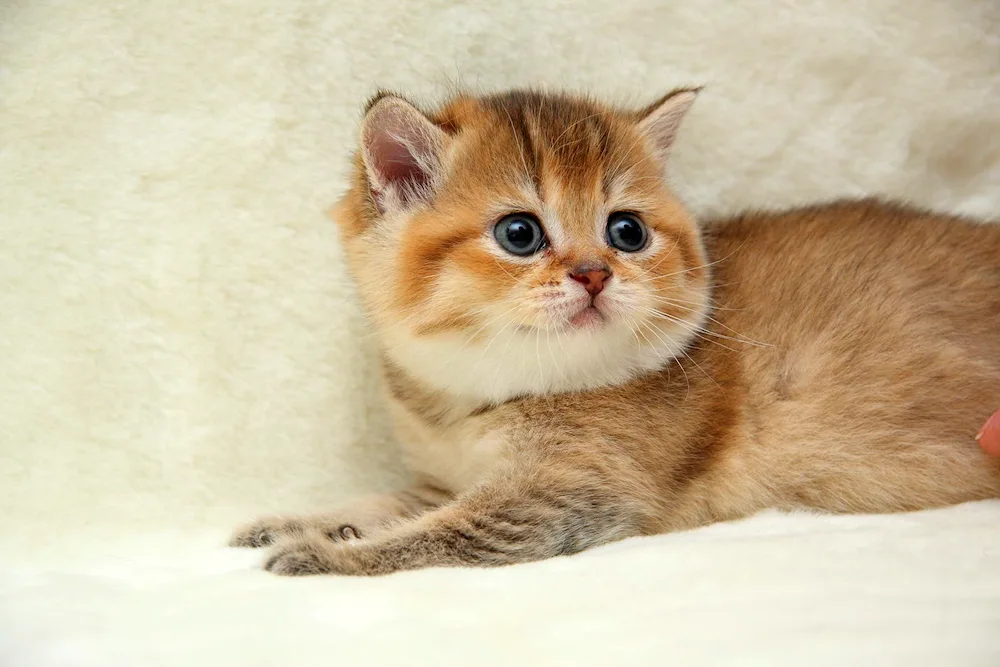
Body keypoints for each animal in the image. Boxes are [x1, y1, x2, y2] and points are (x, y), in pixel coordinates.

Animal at [229, 87, 1000, 576]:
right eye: (519, 233)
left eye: (626, 231)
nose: (595, 273)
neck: (478, 397)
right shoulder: (445, 473)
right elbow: (390, 502)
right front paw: (305, 519)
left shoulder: (566, 494)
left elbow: (440, 534)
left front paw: (329, 554)